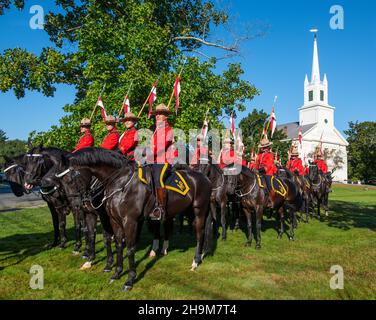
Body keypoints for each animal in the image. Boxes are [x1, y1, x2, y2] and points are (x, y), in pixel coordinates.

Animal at [68, 148, 214, 292]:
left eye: (71, 178)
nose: (78, 205)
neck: (121, 183)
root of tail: (205, 178)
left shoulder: (130, 222)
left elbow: (130, 248)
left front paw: (129, 280)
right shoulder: (115, 221)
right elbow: (118, 245)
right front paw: (117, 273)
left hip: (199, 211)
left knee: (200, 234)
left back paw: (195, 261)